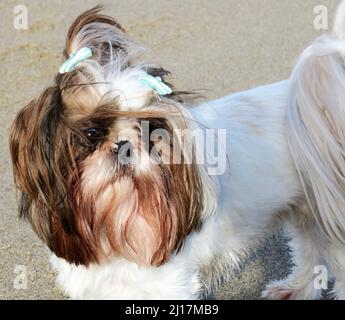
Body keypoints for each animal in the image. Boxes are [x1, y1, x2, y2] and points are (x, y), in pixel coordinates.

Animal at [8, 1, 345, 298]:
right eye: (92, 132)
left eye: (149, 131)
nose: (125, 146)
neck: (114, 221)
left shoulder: (163, 282)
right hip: (310, 207)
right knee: (310, 248)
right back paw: (297, 289)